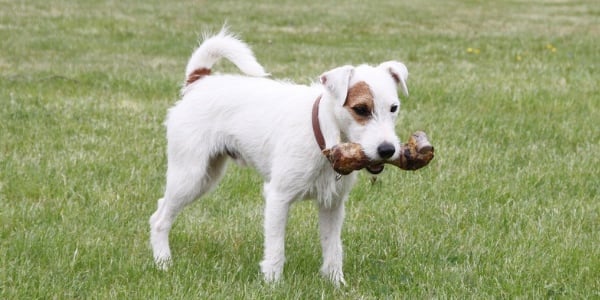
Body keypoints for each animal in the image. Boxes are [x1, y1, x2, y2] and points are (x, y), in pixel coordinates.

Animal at [150, 28, 410, 286]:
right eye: (361, 109)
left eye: (394, 108)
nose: (387, 150)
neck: (323, 132)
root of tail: (199, 81)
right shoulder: (278, 198)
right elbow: (276, 248)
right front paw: (273, 284)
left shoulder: (332, 205)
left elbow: (333, 249)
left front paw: (336, 283)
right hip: (190, 176)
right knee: (160, 219)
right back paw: (163, 263)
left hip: (207, 176)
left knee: (161, 207)